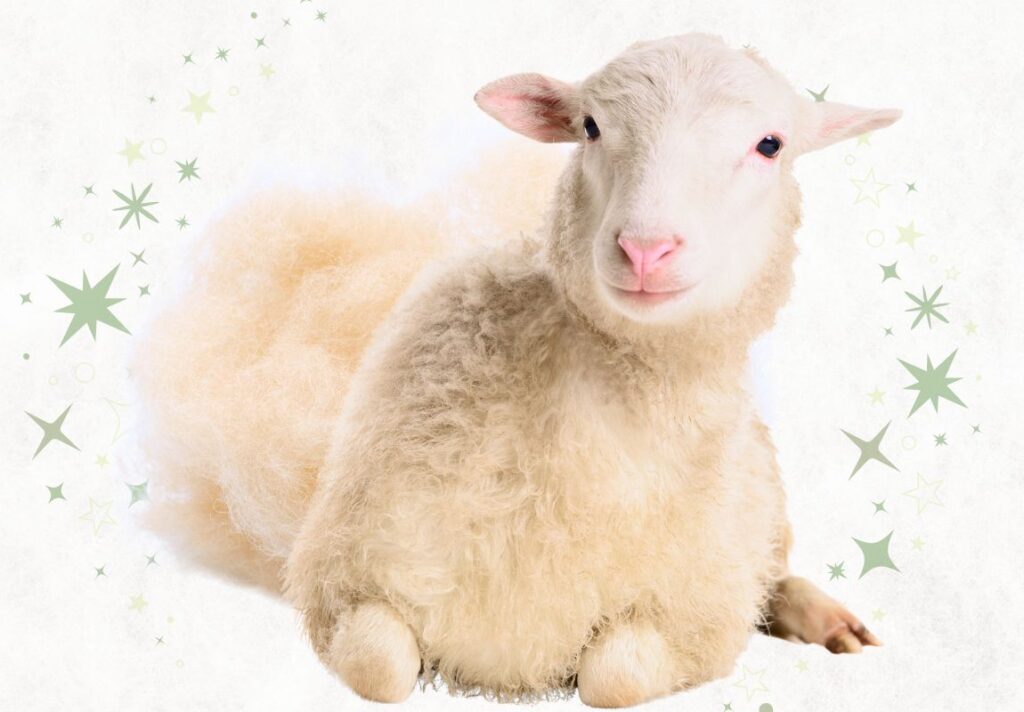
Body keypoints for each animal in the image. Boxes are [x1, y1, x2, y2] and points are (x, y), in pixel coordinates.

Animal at [130, 32, 900, 708]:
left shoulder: (696, 618)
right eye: (590, 126)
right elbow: (384, 670)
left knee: (773, 574)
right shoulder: (346, 578)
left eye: (770, 145)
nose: (646, 249)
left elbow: (613, 677)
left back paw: (830, 620)